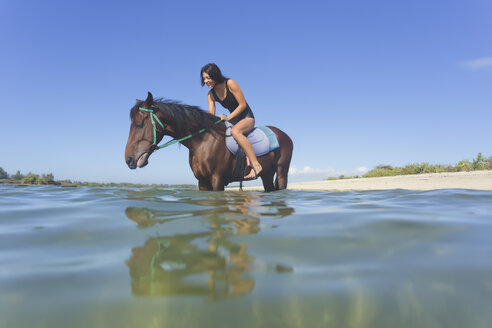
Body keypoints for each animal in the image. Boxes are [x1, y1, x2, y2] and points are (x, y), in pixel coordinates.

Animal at [125, 91, 292, 192]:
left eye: (139, 124)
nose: (128, 159)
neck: (203, 141)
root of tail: (284, 136)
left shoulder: (217, 179)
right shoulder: (202, 181)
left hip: (282, 172)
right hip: (267, 175)